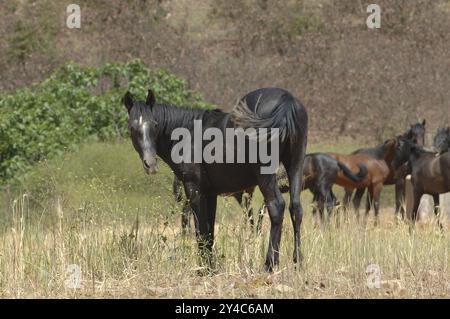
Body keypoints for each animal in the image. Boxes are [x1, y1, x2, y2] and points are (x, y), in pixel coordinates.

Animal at [123, 88, 308, 272]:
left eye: (154, 125)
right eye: (132, 127)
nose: (151, 164)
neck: (188, 134)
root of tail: (286, 101)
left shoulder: (194, 189)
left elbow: (200, 231)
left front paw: (204, 269)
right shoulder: (210, 194)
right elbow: (209, 232)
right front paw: (210, 266)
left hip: (266, 176)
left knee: (276, 207)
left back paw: (270, 264)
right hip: (295, 166)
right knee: (296, 209)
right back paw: (298, 262)